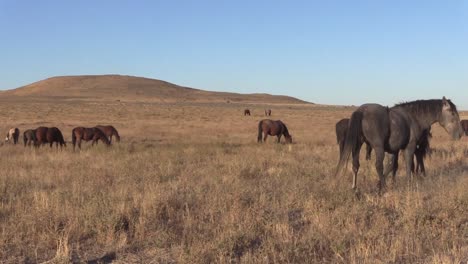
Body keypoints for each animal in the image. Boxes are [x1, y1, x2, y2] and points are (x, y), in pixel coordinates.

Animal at [334, 97, 462, 192]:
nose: (459, 134)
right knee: (378, 166)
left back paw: (355, 188)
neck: (414, 117)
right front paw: (408, 184)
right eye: (452, 113)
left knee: (355, 165)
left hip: (357, 145)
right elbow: (408, 166)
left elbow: (392, 166)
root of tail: (361, 111)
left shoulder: (394, 150)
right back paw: (384, 187)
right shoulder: (409, 148)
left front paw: (385, 183)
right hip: (378, 148)